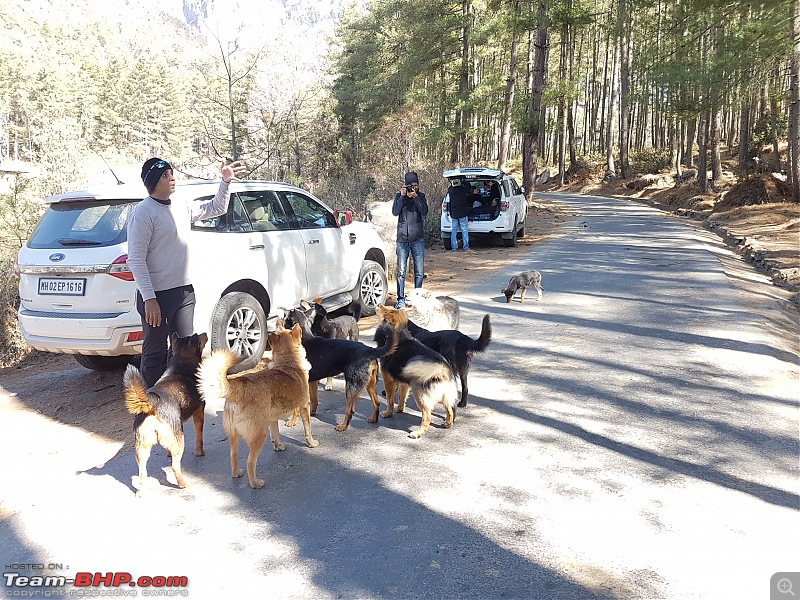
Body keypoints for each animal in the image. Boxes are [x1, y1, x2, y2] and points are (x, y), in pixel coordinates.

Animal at [122, 330, 208, 494]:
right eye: (198, 337)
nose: (205, 332)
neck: (181, 362)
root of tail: (151, 405)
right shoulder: (199, 413)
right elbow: (200, 436)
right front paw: (200, 452)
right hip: (179, 439)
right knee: (175, 466)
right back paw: (183, 484)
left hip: (142, 449)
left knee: (142, 473)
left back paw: (141, 493)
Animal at [198, 326, 318, 490]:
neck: (288, 363)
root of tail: (239, 387)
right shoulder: (304, 406)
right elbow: (307, 428)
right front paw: (311, 443)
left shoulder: (272, 420)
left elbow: (276, 434)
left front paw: (278, 446)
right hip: (260, 435)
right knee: (250, 462)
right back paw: (255, 483)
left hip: (234, 436)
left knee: (233, 454)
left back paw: (236, 473)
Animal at [374, 308, 456, 438]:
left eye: (386, 311)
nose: (378, 306)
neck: (399, 337)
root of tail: (442, 369)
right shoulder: (404, 383)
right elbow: (402, 397)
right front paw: (400, 409)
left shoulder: (389, 381)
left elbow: (389, 401)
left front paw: (387, 413)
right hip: (444, 394)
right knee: (449, 409)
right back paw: (448, 423)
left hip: (420, 395)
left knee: (427, 416)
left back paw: (417, 433)